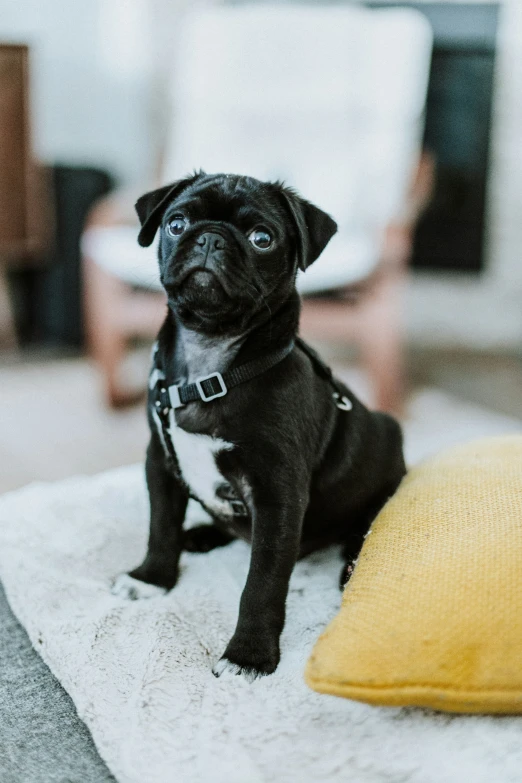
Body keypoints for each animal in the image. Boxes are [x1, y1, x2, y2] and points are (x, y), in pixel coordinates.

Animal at [112, 172, 406, 680]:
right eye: (176, 223)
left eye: (262, 239)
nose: (209, 237)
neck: (210, 369)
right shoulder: (161, 463)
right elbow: (161, 526)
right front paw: (152, 578)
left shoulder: (277, 495)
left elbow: (263, 582)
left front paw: (248, 654)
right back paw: (201, 535)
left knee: (363, 534)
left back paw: (351, 567)